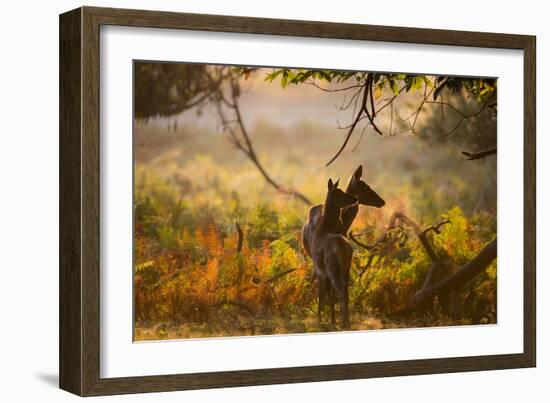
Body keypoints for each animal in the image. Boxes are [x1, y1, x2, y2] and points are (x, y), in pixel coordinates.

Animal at [312, 179, 360, 328]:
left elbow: (322, 293)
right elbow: (330, 295)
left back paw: (345, 322)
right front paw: (331, 319)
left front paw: (320, 317)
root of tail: (343, 249)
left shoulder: (319, 268)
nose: (355, 198)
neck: (321, 230)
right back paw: (346, 321)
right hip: (346, 268)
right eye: (339, 192)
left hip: (332, 267)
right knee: (346, 292)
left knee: (340, 292)